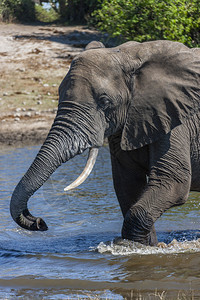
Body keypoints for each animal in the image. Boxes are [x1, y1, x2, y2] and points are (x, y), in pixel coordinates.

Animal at [9, 39, 200, 246]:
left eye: (105, 101)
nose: (40, 222)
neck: (130, 55)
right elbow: (128, 186)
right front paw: (144, 246)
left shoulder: (174, 119)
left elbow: (173, 182)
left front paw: (132, 247)